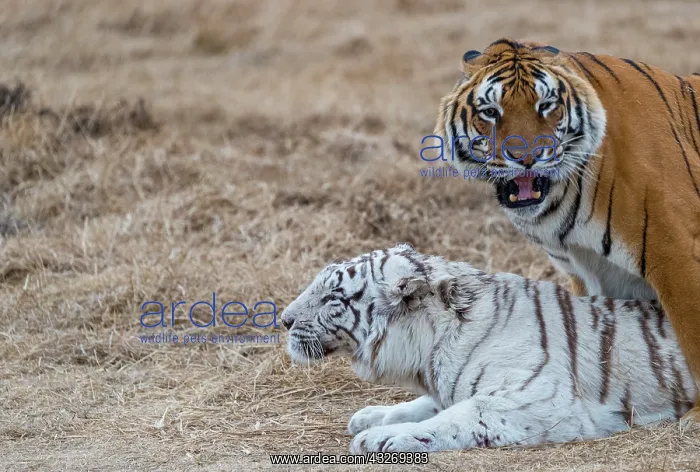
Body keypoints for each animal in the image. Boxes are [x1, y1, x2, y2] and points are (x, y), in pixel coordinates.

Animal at [281, 244, 694, 453]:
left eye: (332, 298)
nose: (283, 320)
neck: (431, 345)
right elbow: (427, 405)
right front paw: (371, 416)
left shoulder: (537, 400)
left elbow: (454, 418)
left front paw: (382, 438)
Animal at [432, 38, 700, 427]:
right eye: (491, 112)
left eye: (546, 106)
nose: (526, 157)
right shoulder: (593, 274)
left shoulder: (678, 251)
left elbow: (694, 335)